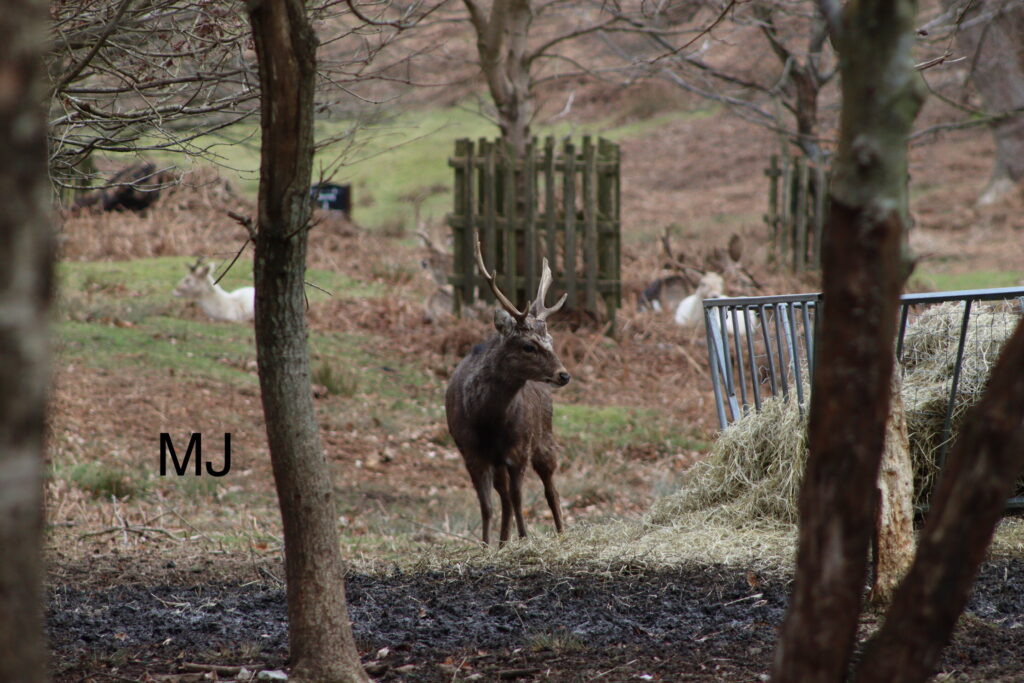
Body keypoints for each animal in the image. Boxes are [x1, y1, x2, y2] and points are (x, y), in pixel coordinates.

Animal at [445, 236, 570, 546]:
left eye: (551, 339)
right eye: (528, 345)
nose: (564, 374)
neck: (487, 419)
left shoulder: (519, 448)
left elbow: (518, 497)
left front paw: (524, 538)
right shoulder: (471, 452)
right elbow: (487, 505)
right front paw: (486, 545)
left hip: (544, 436)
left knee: (551, 488)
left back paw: (561, 533)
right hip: (498, 459)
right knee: (503, 498)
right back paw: (502, 542)